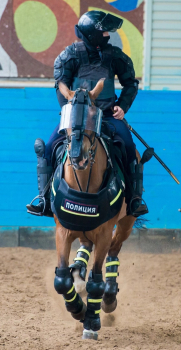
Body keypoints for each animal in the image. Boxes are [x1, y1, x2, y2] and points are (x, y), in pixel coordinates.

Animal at [52, 80, 137, 340]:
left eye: (93, 118)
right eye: (67, 122)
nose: (77, 157)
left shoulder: (103, 233)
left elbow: (96, 280)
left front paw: (91, 321)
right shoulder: (63, 231)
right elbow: (61, 280)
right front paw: (78, 309)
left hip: (127, 222)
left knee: (114, 250)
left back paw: (108, 297)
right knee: (84, 248)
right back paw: (79, 271)